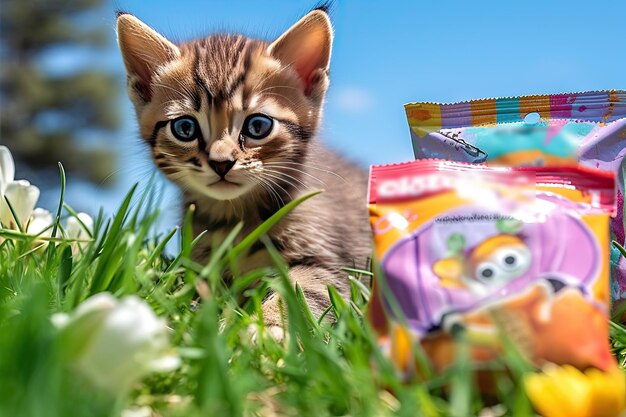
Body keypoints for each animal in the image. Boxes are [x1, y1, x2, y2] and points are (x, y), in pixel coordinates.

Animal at [116, 6, 370, 334]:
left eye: (257, 126)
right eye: (185, 128)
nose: (221, 162)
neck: (235, 217)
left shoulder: (329, 264)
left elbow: (303, 292)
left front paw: (266, 329)